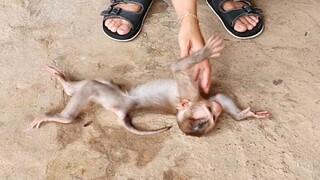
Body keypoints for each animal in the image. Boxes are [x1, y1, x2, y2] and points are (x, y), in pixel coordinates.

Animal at [28, 35, 270, 136]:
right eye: (210, 113)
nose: (217, 111)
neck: (194, 102)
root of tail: (125, 113)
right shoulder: (192, 94)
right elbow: (178, 69)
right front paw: (205, 52)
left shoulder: (196, 95)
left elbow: (219, 97)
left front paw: (244, 115)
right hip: (114, 97)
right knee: (95, 85)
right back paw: (66, 104)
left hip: (112, 97)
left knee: (92, 86)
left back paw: (65, 107)